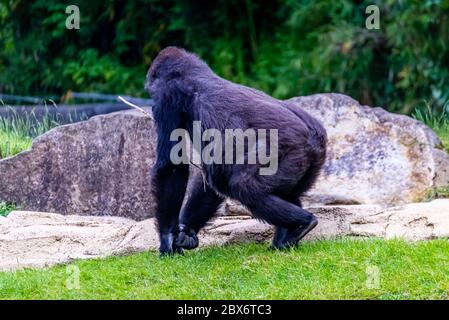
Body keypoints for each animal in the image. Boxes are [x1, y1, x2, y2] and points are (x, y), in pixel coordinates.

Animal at [147, 46, 326, 255]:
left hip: (290, 150)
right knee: (287, 193)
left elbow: (172, 167)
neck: (196, 74)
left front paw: (167, 238)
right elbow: (212, 178)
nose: (149, 94)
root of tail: (314, 138)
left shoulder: (167, 98)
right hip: (312, 161)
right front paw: (187, 230)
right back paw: (287, 236)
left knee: (244, 186)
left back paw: (304, 223)